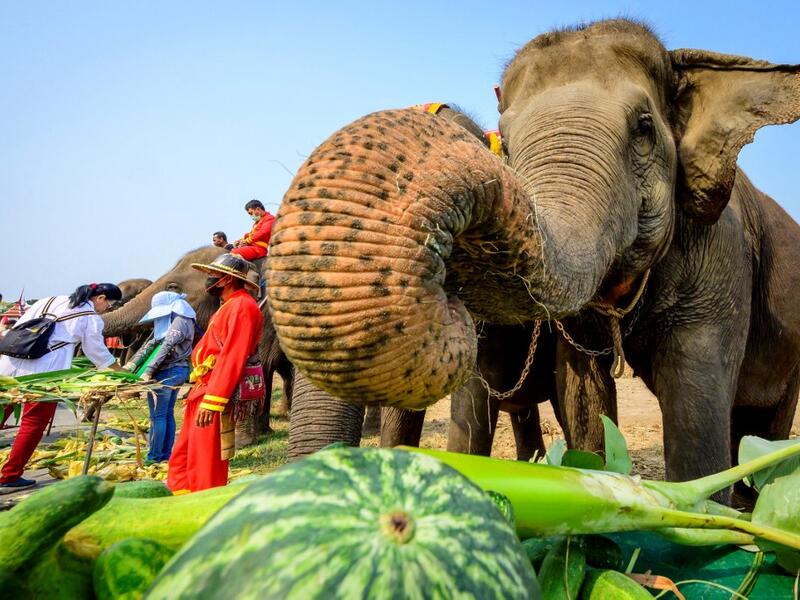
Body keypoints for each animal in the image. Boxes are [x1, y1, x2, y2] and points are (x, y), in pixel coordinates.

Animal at [266, 19, 800, 498]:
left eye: (645, 128)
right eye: (505, 138)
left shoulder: (720, 254)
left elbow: (694, 409)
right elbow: (577, 397)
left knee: (763, 425)